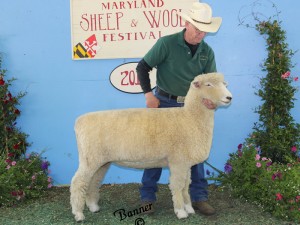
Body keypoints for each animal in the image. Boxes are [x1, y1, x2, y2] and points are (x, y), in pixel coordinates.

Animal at [70, 72, 232, 221]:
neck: (190, 118)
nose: (229, 97)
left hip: (101, 161)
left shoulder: (185, 163)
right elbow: (177, 186)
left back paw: (93, 206)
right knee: (78, 182)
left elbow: (186, 185)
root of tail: (79, 121)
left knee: (93, 181)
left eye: (224, 84)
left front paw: (189, 207)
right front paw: (180, 211)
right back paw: (78, 214)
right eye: (208, 85)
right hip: (89, 158)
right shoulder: (178, 161)